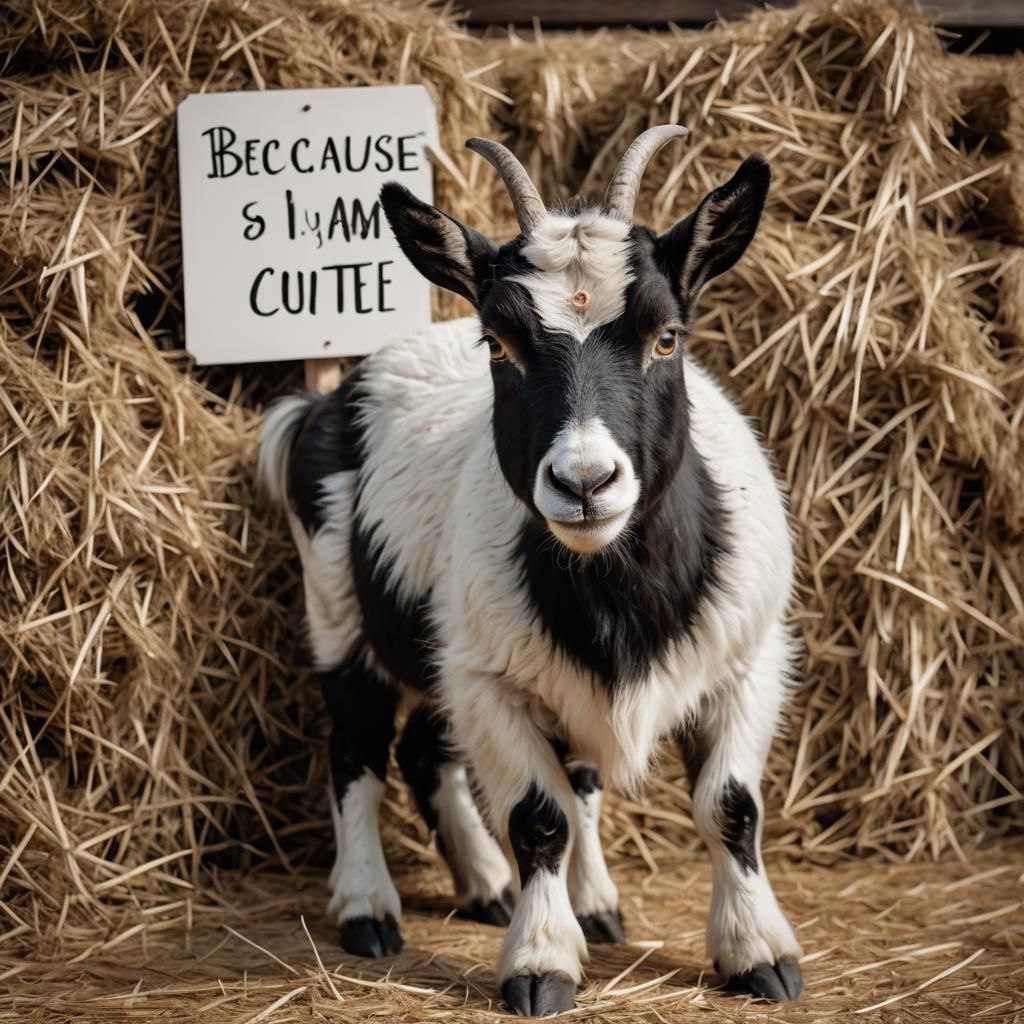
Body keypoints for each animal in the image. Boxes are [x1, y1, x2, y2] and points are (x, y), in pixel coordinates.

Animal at [258, 125, 803, 1016]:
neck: (619, 592)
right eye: (499, 343)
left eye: (667, 336)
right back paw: (370, 909)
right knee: (360, 749)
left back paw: (507, 889)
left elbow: (728, 807)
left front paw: (758, 954)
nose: (585, 483)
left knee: (439, 754)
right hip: (339, 610)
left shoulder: (746, 661)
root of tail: (326, 403)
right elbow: (539, 818)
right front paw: (542, 965)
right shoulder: (490, 679)